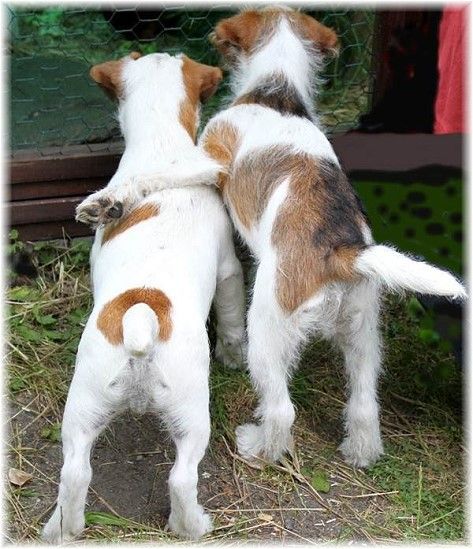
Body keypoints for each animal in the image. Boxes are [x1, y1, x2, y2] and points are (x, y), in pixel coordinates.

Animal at [42, 50, 245, 540]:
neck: (159, 145)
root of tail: (141, 319)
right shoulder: (229, 269)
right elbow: (233, 316)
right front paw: (234, 353)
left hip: (82, 408)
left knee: (74, 474)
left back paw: (63, 528)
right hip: (192, 415)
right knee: (182, 478)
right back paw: (191, 525)